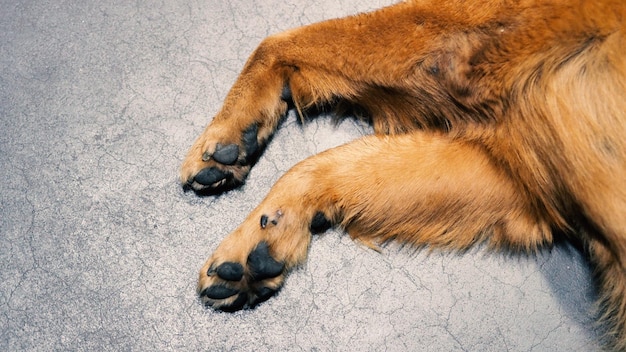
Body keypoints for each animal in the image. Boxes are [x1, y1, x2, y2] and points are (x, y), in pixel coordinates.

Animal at [179, 0, 624, 346]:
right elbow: (326, 164)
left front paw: (229, 130)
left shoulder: (460, 37)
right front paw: (264, 235)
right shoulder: (506, 172)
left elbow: (275, 42)